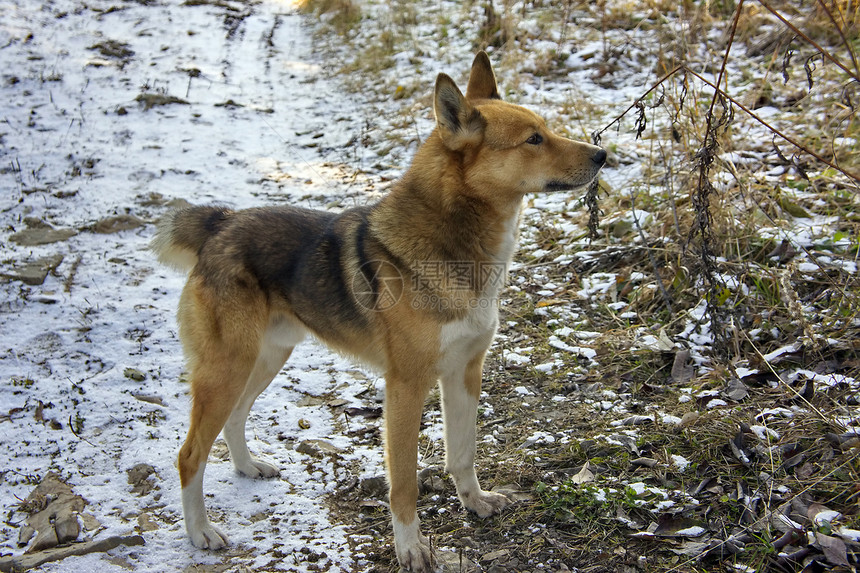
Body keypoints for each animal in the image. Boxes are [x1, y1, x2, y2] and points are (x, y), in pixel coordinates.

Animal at [149, 51, 604, 568]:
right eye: (533, 139)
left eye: (545, 130)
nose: (602, 155)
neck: (457, 241)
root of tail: (219, 224)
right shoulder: (406, 386)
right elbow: (404, 482)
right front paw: (410, 549)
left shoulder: (465, 371)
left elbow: (462, 454)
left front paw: (474, 503)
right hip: (228, 367)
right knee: (190, 454)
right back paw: (200, 532)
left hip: (265, 358)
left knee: (234, 418)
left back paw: (247, 467)